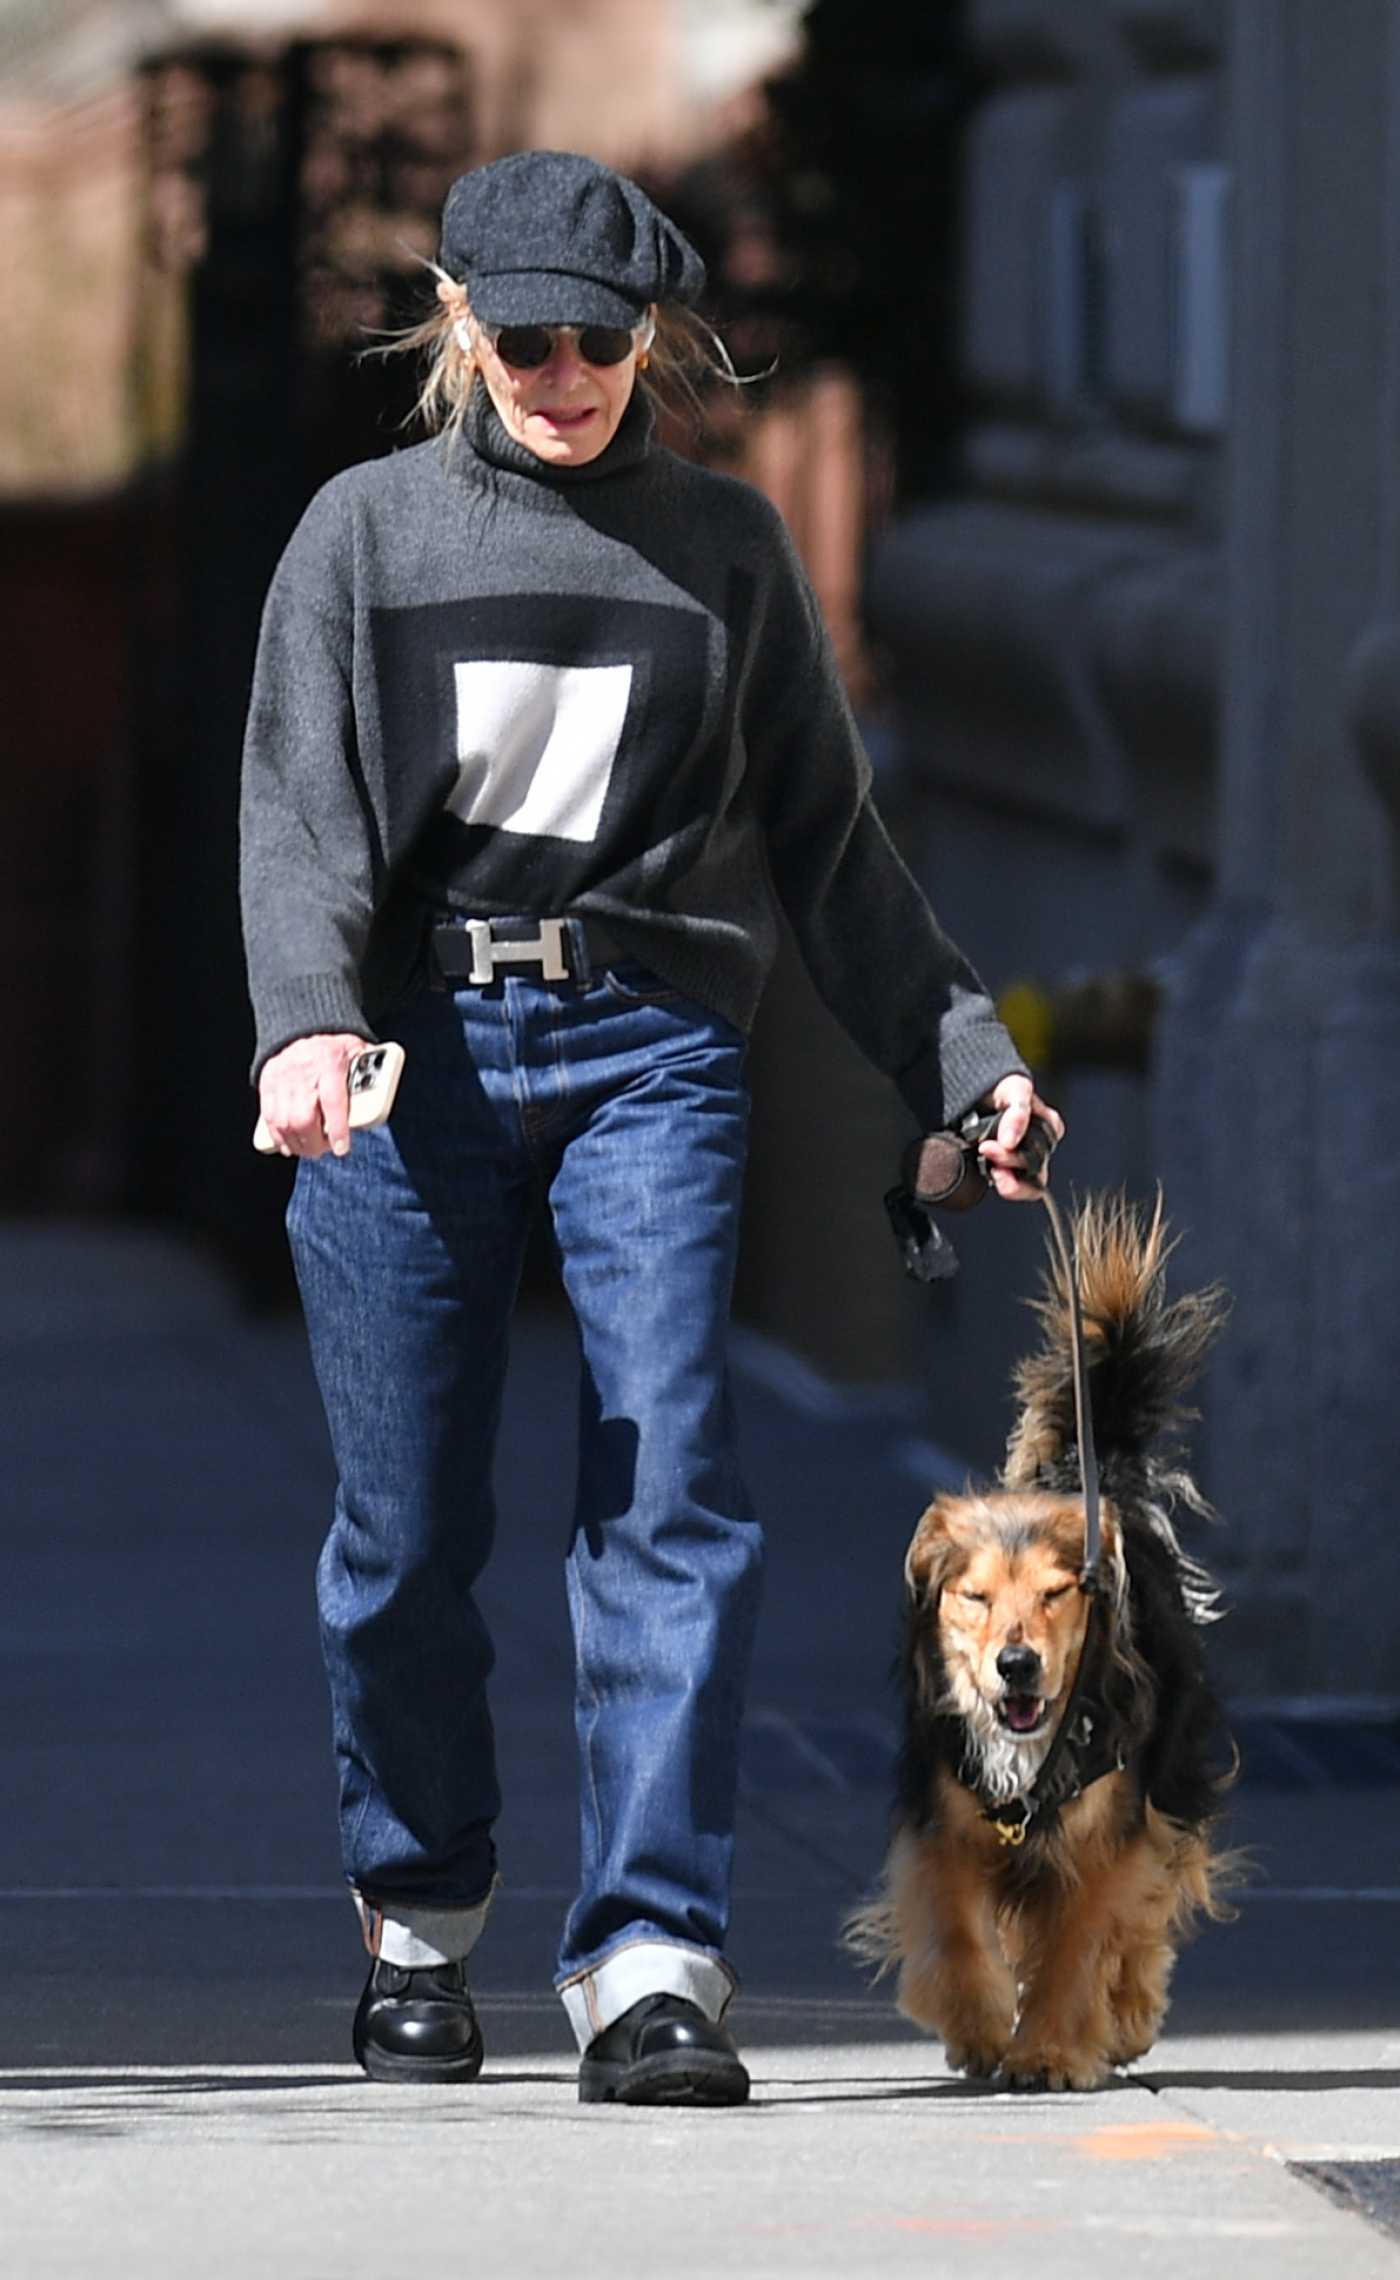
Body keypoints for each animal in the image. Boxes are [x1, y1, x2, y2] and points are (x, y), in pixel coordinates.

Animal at [848, 1185, 1249, 2088]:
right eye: (974, 1597)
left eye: (1058, 1594)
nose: (1017, 1665)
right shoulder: (945, 1821)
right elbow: (957, 1928)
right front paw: (980, 2026)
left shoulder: (1108, 1835)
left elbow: (1084, 1939)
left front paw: (1054, 2051)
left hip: (1169, 1776)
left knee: (1153, 1902)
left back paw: (1128, 2016)